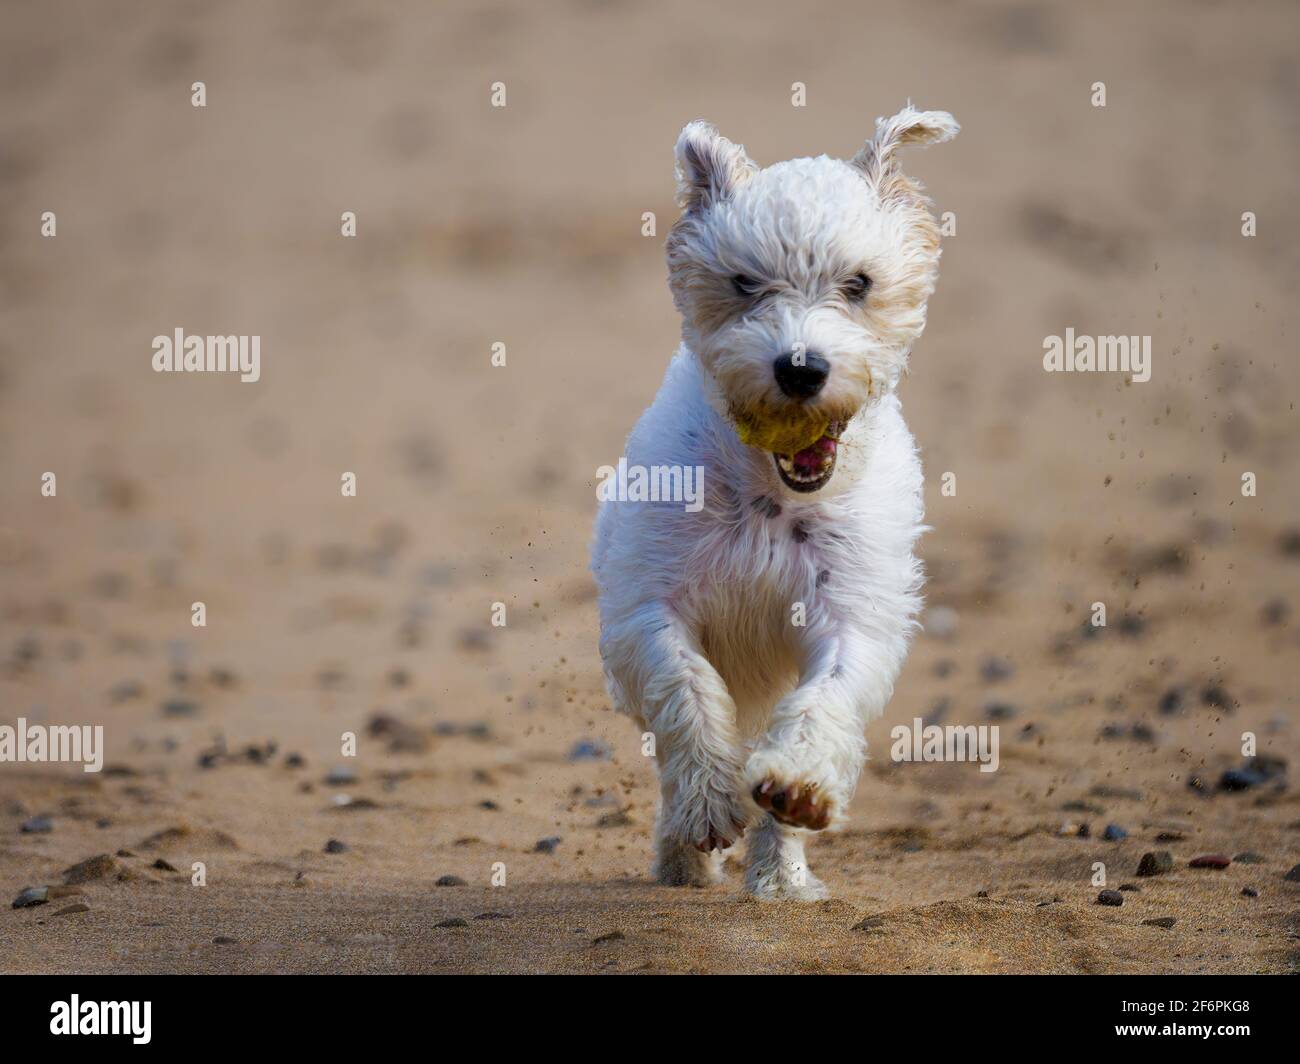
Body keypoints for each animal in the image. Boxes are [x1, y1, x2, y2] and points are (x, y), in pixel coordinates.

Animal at [590, 106, 956, 894]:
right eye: (743, 282)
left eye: (859, 283)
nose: (801, 368)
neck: (768, 495)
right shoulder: (649, 607)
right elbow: (688, 688)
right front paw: (706, 805)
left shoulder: (851, 614)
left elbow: (826, 698)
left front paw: (798, 789)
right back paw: (683, 856)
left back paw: (778, 874)